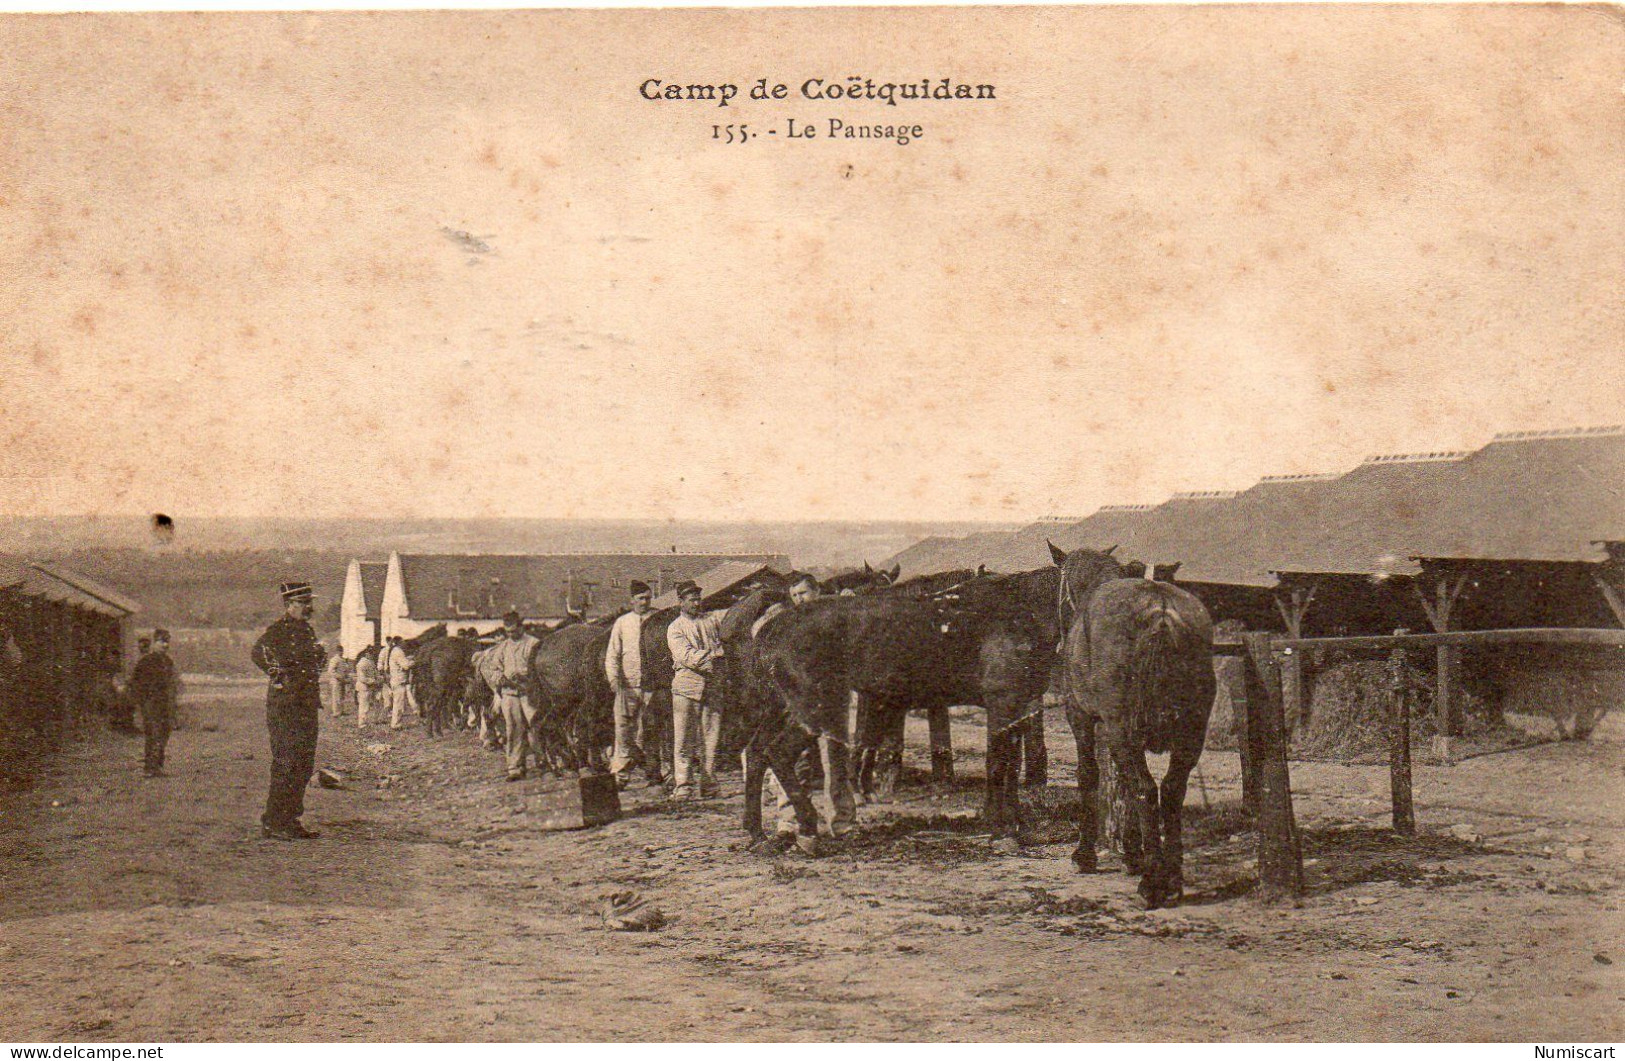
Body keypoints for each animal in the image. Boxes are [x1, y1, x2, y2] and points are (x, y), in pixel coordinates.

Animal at [1059, 542, 1215, 903]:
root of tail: (1161, 612)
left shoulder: (1083, 717)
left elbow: (1090, 777)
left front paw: (1086, 854)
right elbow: (1121, 784)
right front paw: (1132, 852)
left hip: (1124, 730)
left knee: (1146, 789)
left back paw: (1153, 880)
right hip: (1191, 732)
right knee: (1171, 790)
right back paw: (1172, 875)